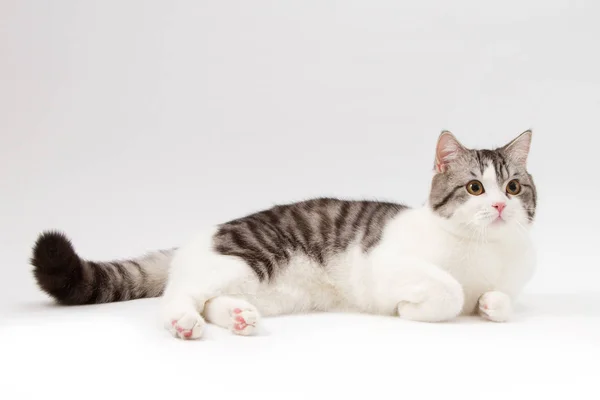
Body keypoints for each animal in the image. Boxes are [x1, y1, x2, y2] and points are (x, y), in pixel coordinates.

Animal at [31, 131, 540, 340]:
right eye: (475, 188)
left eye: (514, 188)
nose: (499, 205)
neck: (485, 251)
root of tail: (198, 237)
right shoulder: (387, 265)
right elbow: (449, 291)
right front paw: (414, 309)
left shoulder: (509, 284)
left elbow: (501, 301)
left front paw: (489, 305)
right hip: (244, 259)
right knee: (177, 295)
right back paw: (183, 323)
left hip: (263, 287)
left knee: (211, 299)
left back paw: (238, 317)